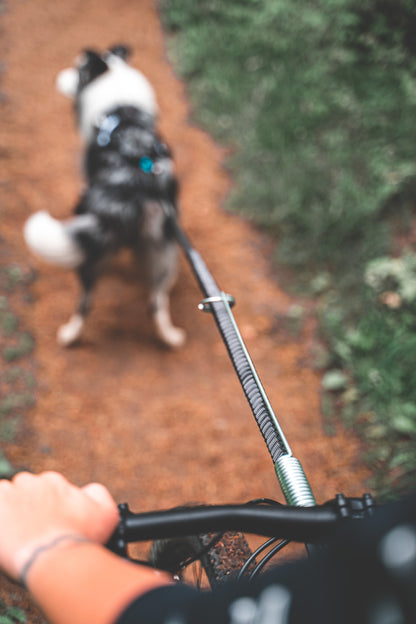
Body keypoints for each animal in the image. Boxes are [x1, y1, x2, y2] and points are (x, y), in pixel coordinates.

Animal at [23, 44, 185, 348]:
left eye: (79, 72)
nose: (60, 77)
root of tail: (133, 188)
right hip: (165, 248)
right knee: (157, 301)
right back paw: (170, 336)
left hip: (90, 250)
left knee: (84, 303)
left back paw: (69, 334)